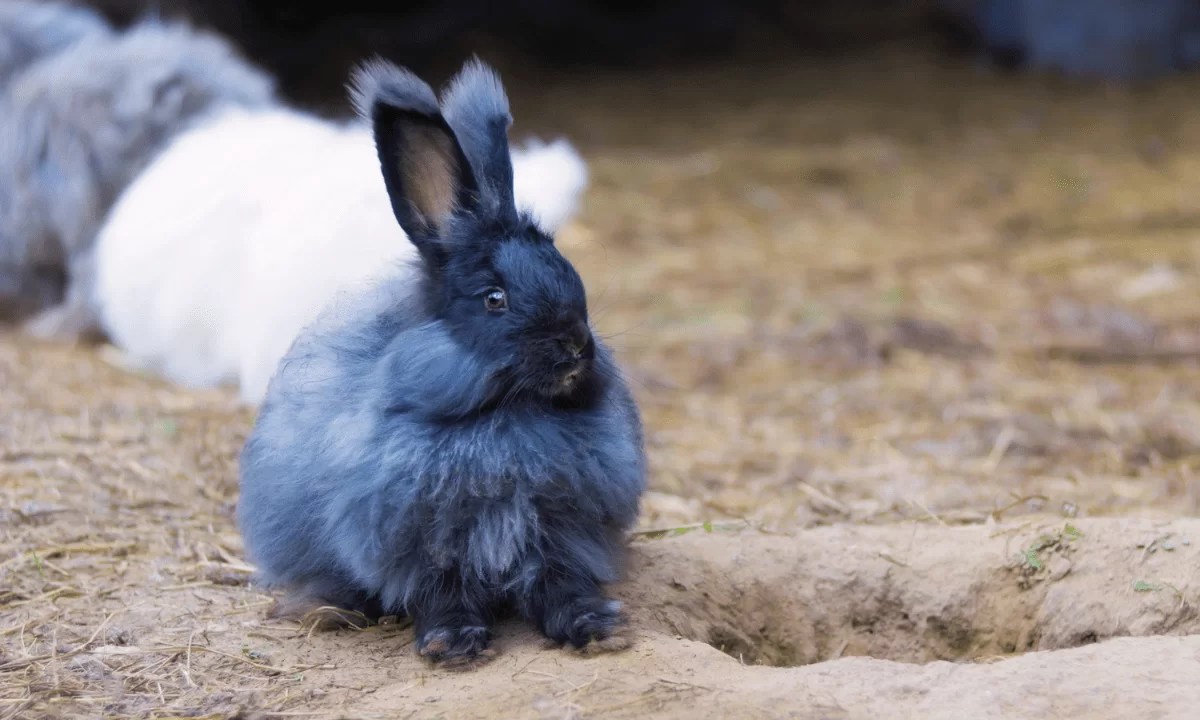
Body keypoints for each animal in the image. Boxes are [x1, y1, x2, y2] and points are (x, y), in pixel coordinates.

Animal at [236, 57, 645, 667]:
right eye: (494, 299)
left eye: (570, 273)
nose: (576, 346)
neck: (505, 415)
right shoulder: (422, 542)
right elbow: (443, 592)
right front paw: (451, 645)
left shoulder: (559, 533)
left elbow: (559, 584)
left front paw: (597, 628)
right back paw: (324, 610)